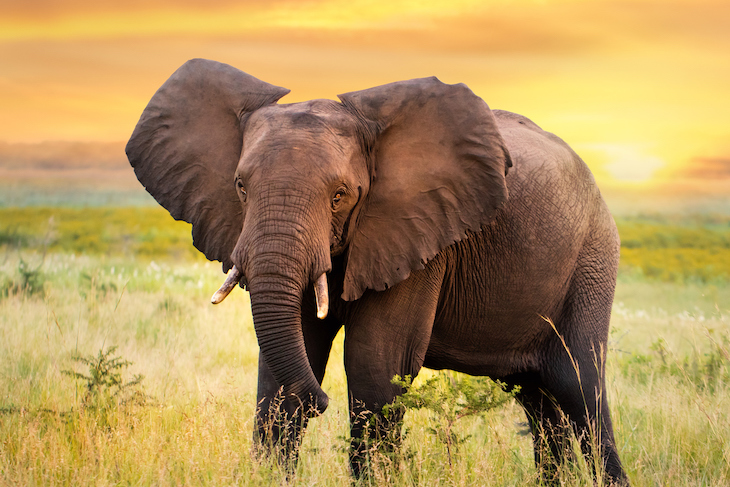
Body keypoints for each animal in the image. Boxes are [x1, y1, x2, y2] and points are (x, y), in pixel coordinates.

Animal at [126, 58, 629, 485]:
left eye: (340, 195)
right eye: (240, 186)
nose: (321, 402)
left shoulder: (420, 235)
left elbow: (374, 363)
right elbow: (284, 362)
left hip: (593, 258)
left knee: (579, 385)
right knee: (537, 397)